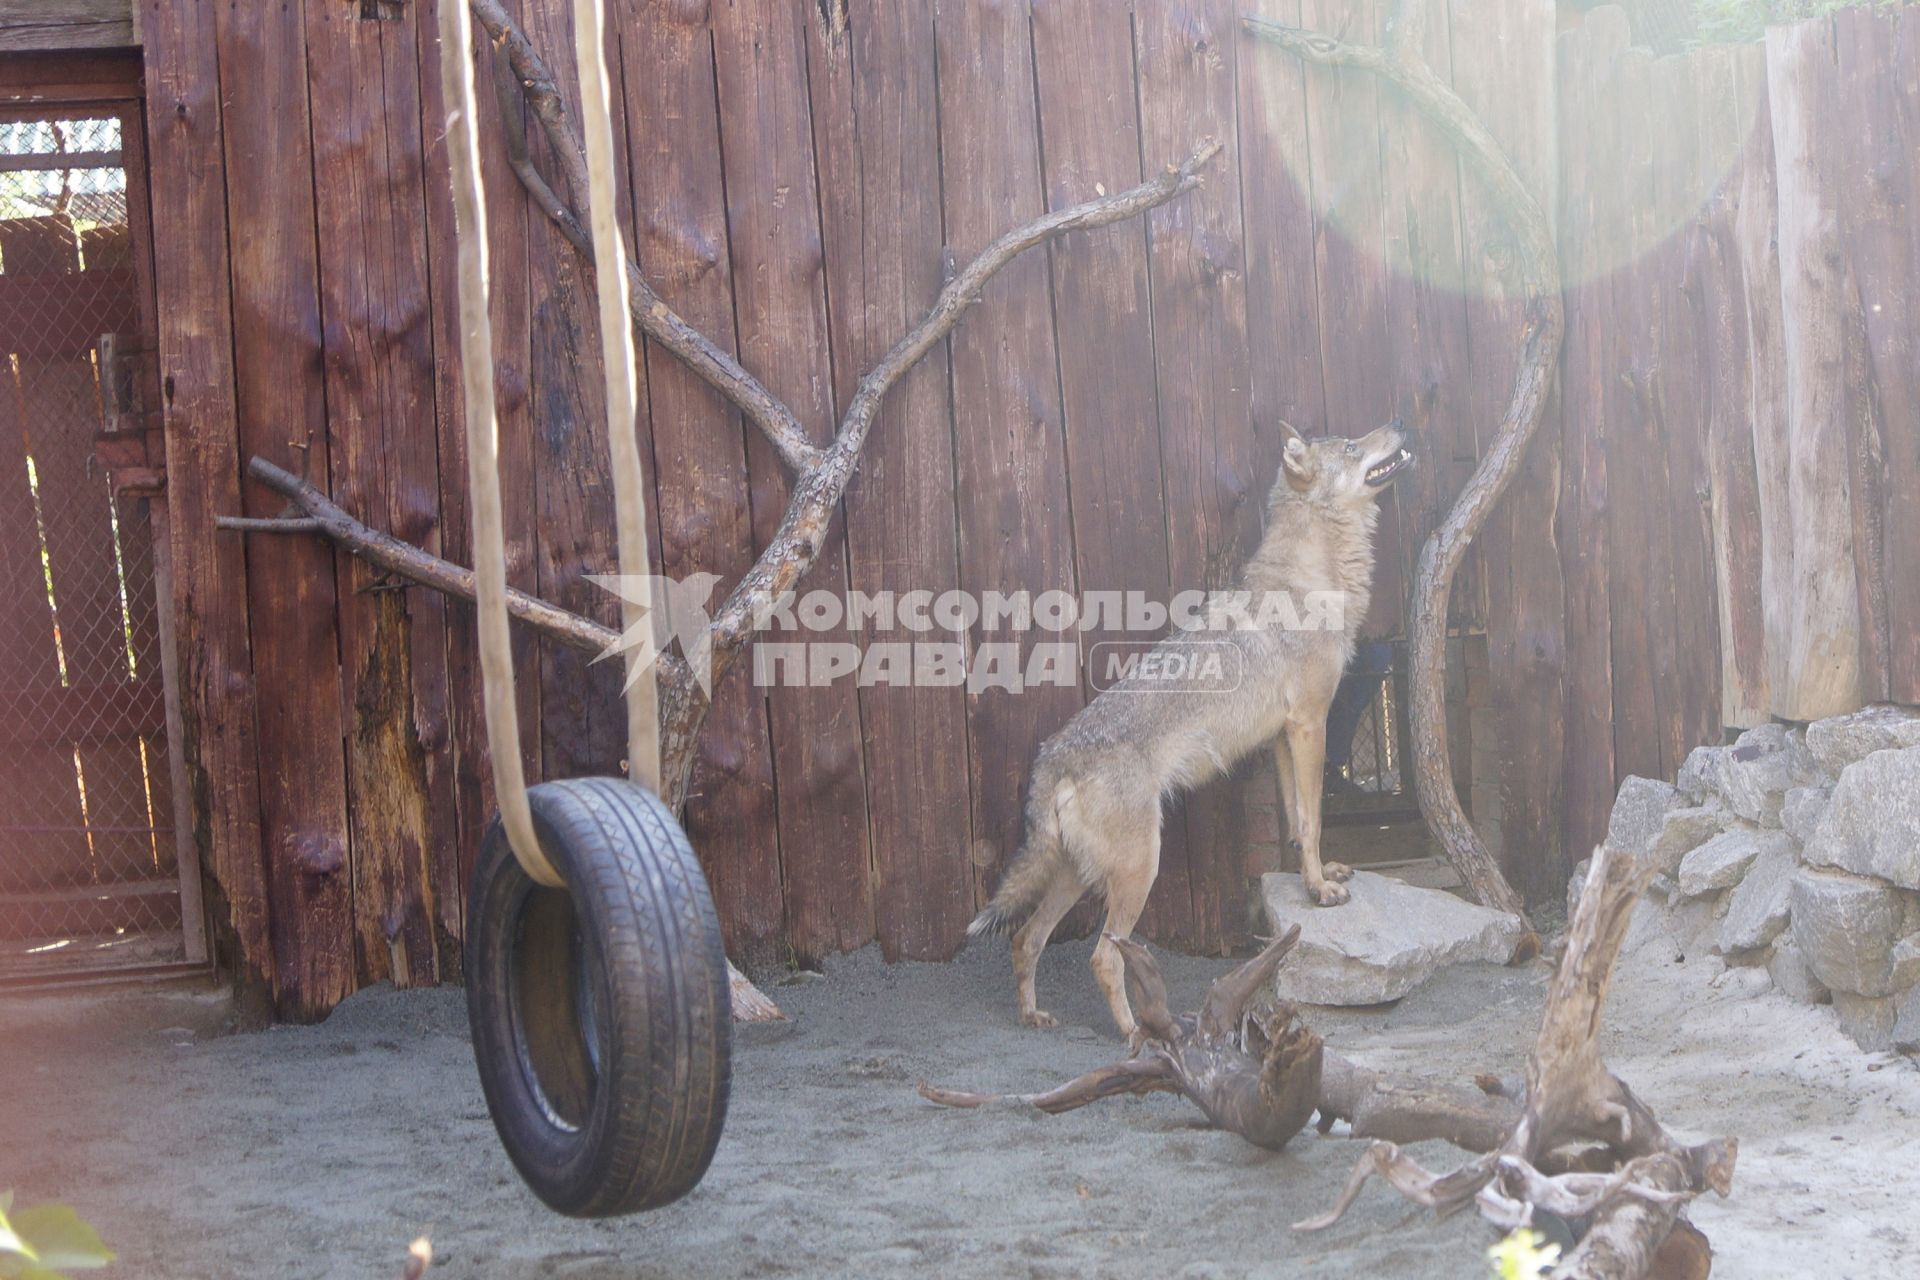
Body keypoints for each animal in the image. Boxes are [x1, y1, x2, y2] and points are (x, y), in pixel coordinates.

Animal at [975, 420, 1413, 1043]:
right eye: (1351, 446)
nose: (1398, 422)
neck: (1312, 579)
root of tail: (1052, 758)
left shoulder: (1283, 736)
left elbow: (1297, 819)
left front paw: (1314, 873)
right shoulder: (1311, 723)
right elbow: (1314, 817)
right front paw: (1320, 891)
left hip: (1076, 876)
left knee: (1023, 938)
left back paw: (1033, 1016)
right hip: (1139, 872)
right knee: (1103, 958)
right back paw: (1137, 1034)